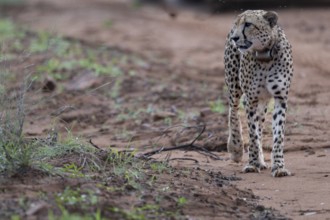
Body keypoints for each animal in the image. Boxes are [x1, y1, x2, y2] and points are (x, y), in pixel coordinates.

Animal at [224, 10, 294, 177]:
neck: (264, 56)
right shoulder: (251, 99)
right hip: (234, 85)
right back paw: (236, 148)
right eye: (237, 24)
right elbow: (252, 133)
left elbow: (278, 134)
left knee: (259, 124)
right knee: (233, 111)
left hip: (262, 101)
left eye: (248, 24)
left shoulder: (280, 98)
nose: (235, 38)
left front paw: (278, 166)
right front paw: (252, 163)